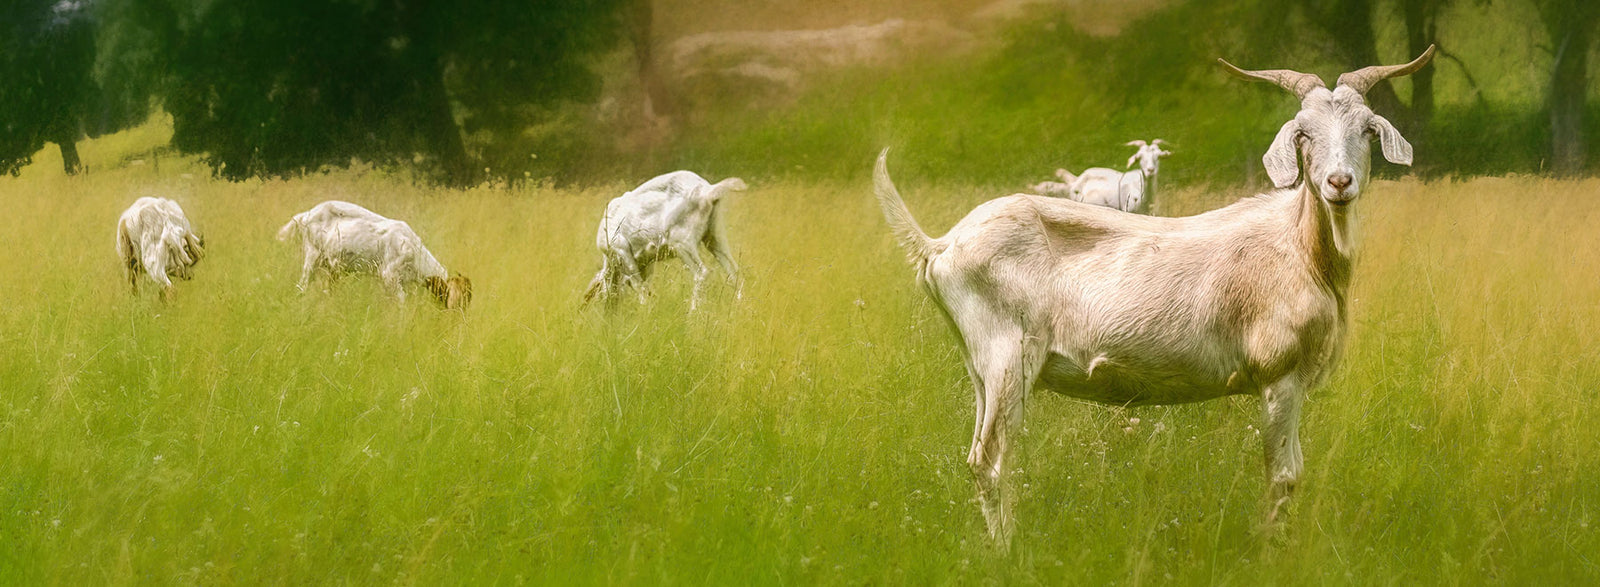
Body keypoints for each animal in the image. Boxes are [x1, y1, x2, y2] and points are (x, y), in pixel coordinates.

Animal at [277, 201, 472, 309]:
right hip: (312, 255)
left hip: (334, 268)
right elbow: (401, 302)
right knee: (302, 286)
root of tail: (306, 215)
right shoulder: (389, 276)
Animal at [583, 171, 747, 311]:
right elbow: (644, 286)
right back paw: (739, 307)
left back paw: (692, 313)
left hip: (681, 241)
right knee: (734, 271)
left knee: (702, 273)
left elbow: (638, 286)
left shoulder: (623, 252)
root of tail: (708, 191)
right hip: (715, 235)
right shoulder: (646, 263)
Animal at [873, 47, 1434, 545]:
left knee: (978, 455)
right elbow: (1283, 475)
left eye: (1367, 129)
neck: (1301, 249)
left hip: (979, 367)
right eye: (1303, 134)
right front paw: (1272, 550)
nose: (1338, 183)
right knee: (990, 461)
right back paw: (1009, 552)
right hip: (1007, 357)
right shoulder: (1280, 376)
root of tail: (940, 245)